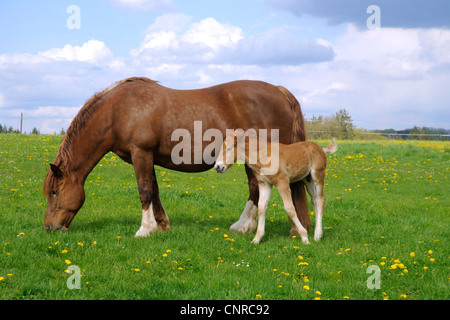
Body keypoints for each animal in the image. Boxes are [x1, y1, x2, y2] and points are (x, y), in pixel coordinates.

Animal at [43, 77, 310, 238]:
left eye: (54, 191)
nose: (49, 227)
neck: (118, 110)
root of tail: (280, 91)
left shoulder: (141, 153)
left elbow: (144, 191)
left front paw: (144, 229)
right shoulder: (145, 157)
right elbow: (154, 190)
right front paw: (160, 225)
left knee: (257, 188)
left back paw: (244, 226)